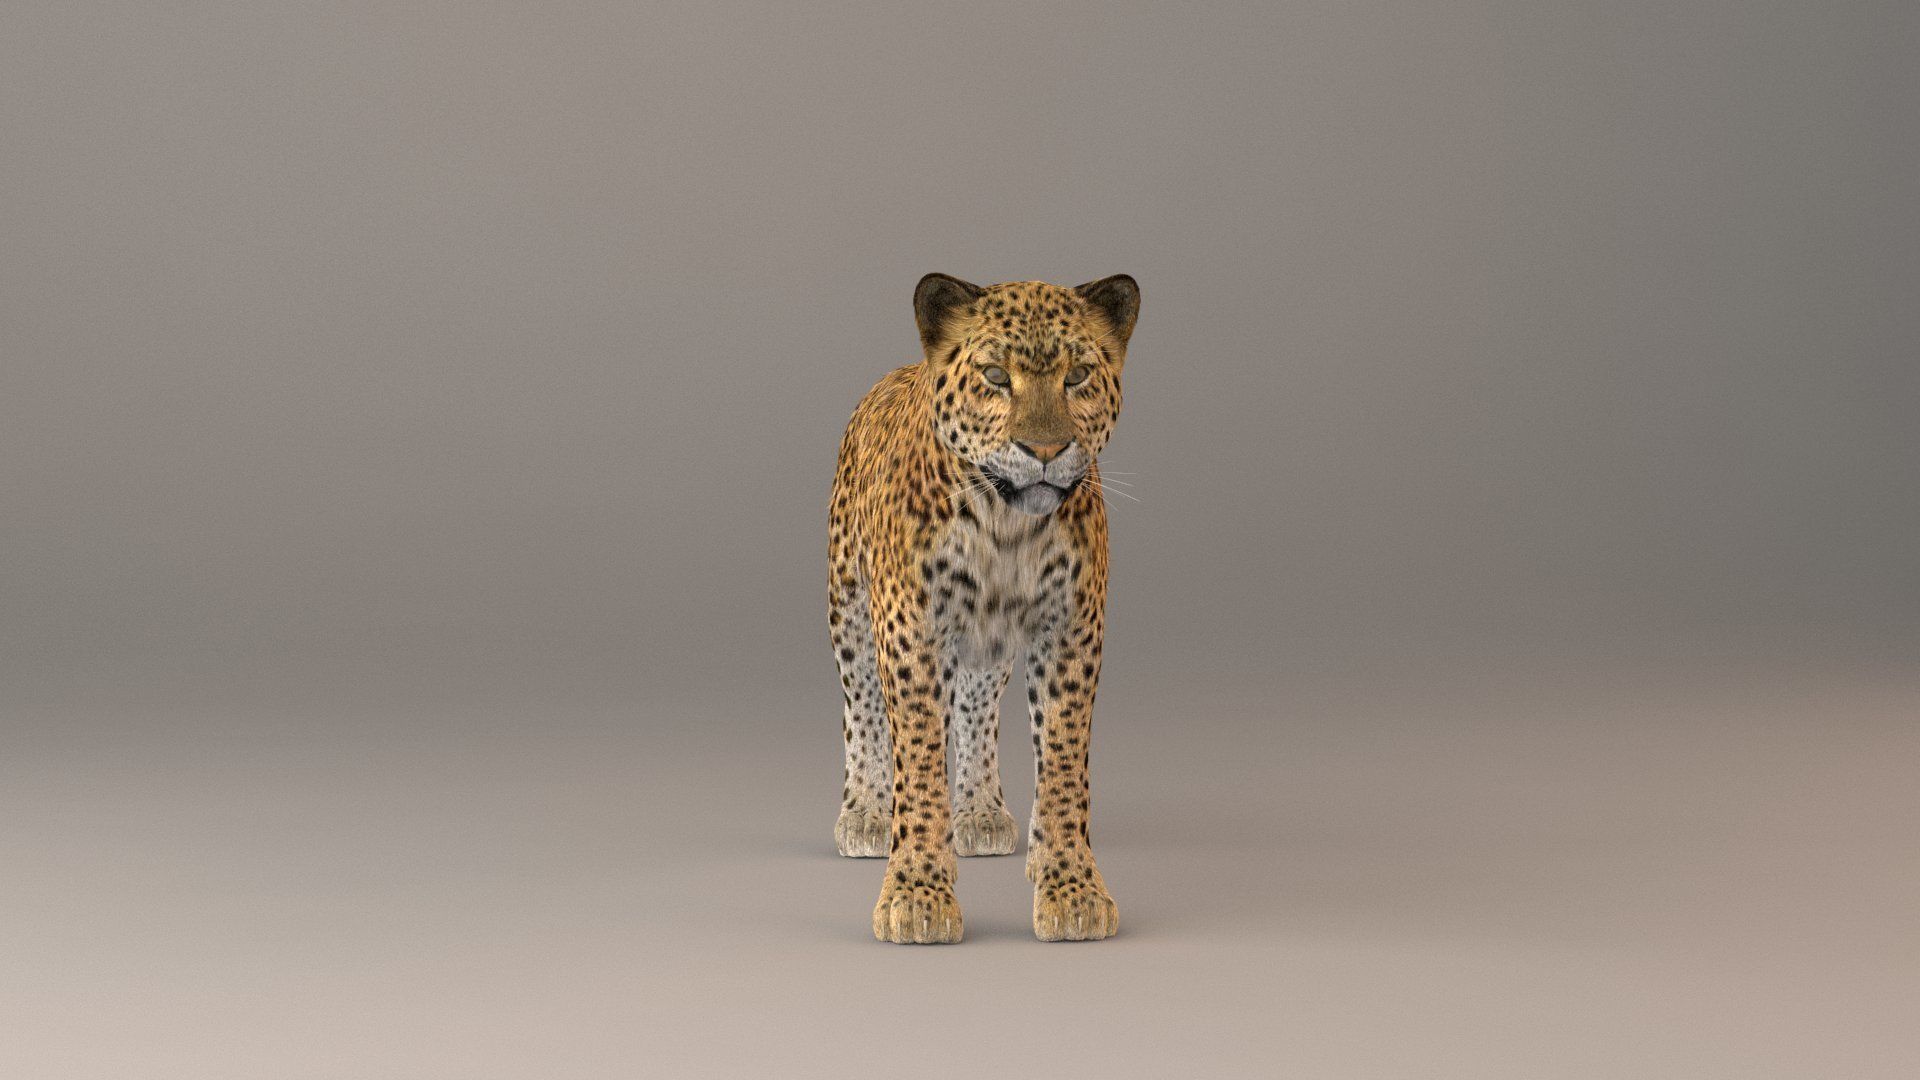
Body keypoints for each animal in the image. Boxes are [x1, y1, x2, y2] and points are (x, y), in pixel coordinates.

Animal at [827, 272, 1140, 944]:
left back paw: (978, 813)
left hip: (986, 642)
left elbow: (1063, 762)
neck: (1006, 526)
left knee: (976, 707)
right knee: (860, 701)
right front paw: (917, 893)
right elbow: (918, 760)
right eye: (996, 376)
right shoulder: (911, 631)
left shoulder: (1071, 630)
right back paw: (865, 814)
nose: (1045, 449)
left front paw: (1072, 888)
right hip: (848, 604)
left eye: (1078, 376)